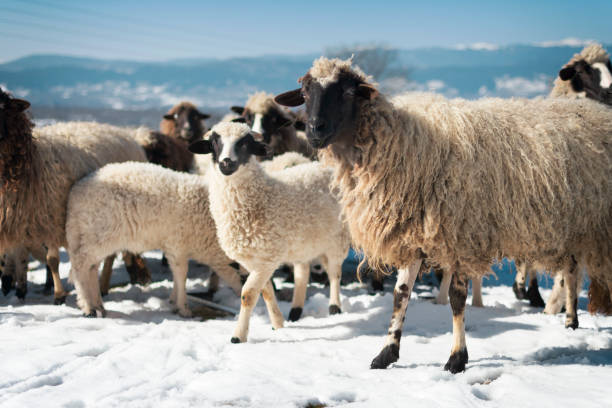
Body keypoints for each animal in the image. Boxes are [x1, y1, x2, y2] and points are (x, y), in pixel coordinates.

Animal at [0, 91, 148, 304]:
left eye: (3, 108)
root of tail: (128, 134)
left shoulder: (53, 219)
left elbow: (52, 261)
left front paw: (58, 295)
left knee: (110, 254)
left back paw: (103, 286)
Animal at [189, 122, 352, 342]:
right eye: (215, 142)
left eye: (245, 143)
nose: (226, 163)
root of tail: (323, 167)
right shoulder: (253, 261)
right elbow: (265, 292)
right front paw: (277, 324)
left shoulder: (266, 258)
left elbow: (248, 295)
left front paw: (238, 337)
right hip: (305, 242)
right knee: (303, 272)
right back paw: (295, 311)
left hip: (338, 237)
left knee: (334, 272)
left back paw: (334, 307)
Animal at [274, 56, 612, 372]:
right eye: (305, 92)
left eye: (346, 92)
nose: (314, 130)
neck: (403, 146)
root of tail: (597, 111)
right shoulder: (412, 233)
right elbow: (400, 294)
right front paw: (386, 354)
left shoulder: (462, 234)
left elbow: (457, 299)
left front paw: (456, 358)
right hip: (574, 227)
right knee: (571, 270)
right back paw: (570, 321)